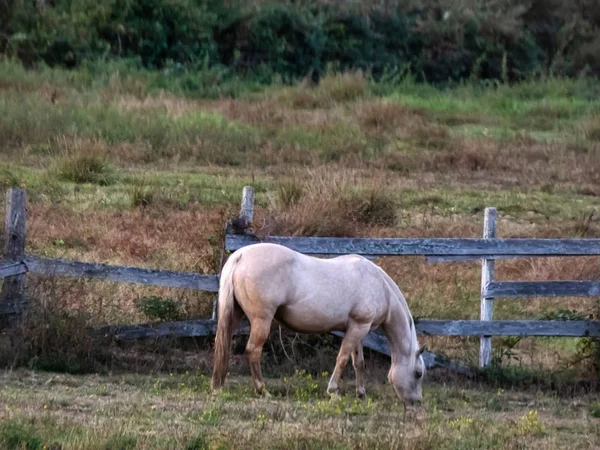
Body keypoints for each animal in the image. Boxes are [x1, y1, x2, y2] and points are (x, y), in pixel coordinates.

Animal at [211, 243, 426, 404]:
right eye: (418, 373)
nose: (415, 402)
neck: (380, 286)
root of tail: (240, 255)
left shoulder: (359, 329)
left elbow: (359, 363)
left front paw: (361, 394)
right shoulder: (358, 327)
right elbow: (342, 359)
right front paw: (333, 392)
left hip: (235, 315)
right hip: (261, 321)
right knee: (253, 351)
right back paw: (262, 391)